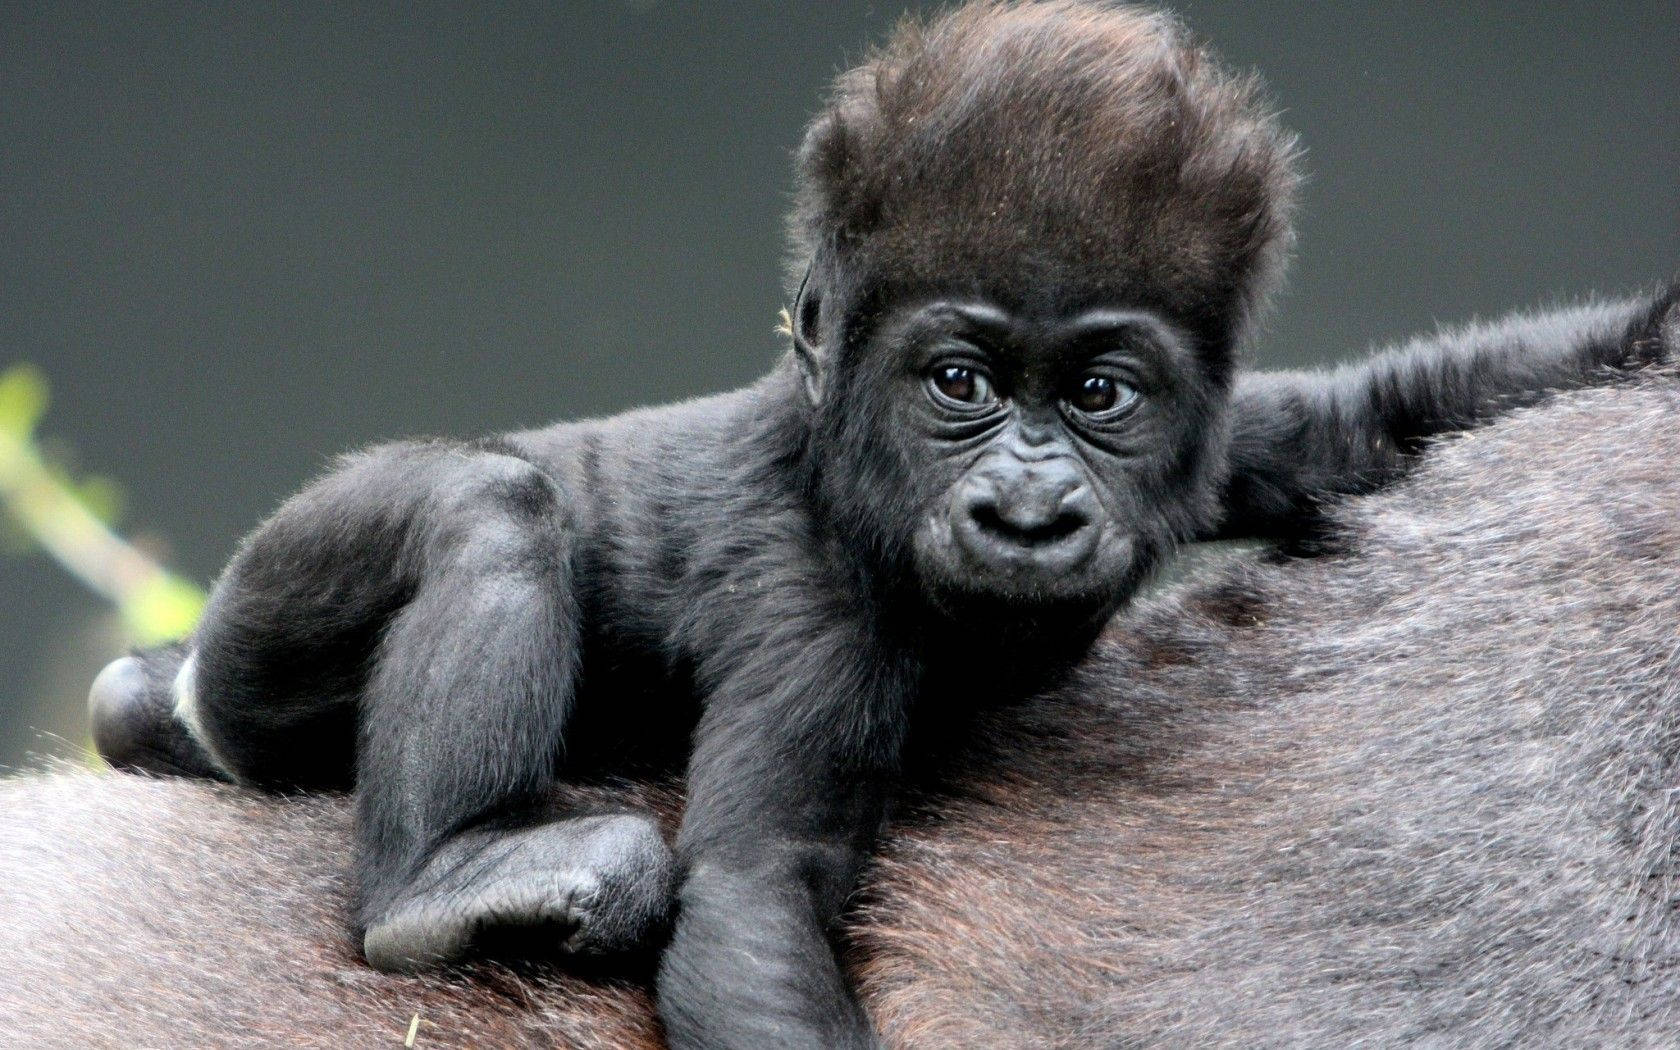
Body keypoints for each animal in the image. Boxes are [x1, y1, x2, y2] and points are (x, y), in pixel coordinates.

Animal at [91, 4, 1680, 1041]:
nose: (1027, 507)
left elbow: (1375, 411)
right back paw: (435, 883)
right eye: (958, 384)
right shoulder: (820, 615)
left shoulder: (1229, 443)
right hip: (286, 584)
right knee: (488, 511)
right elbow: (750, 905)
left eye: (1099, 395)